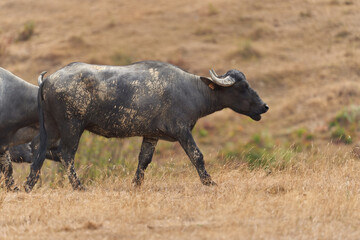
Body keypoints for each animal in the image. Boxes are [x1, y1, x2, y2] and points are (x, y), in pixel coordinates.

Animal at [24, 60, 268, 191]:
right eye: (242, 87)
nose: (264, 106)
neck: (192, 90)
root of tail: (48, 80)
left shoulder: (151, 136)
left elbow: (144, 160)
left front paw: (136, 184)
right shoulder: (182, 131)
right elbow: (197, 155)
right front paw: (209, 182)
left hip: (51, 128)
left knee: (37, 148)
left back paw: (29, 184)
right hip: (71, 127)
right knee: (66, 154)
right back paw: (78, 186)